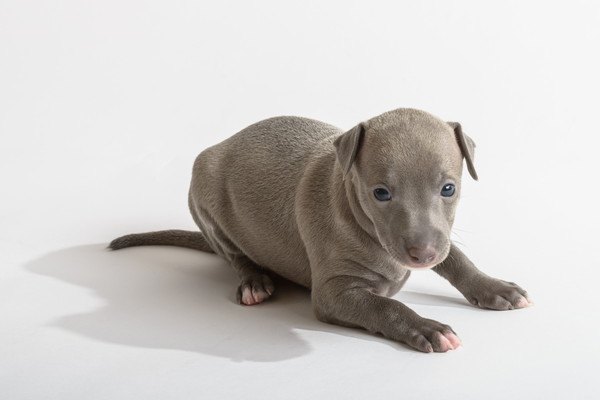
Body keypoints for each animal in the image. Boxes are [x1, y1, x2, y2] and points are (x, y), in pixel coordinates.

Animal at [110, 108, 532, 352]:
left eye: (449, 188)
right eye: (381, 192)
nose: (422, 255)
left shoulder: (436, 236)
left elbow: (456, 256)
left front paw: (495, 287)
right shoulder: (333, 293)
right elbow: (385, 305)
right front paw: (427, 327)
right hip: (204, 194)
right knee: (233, 253)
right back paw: (254, 281)